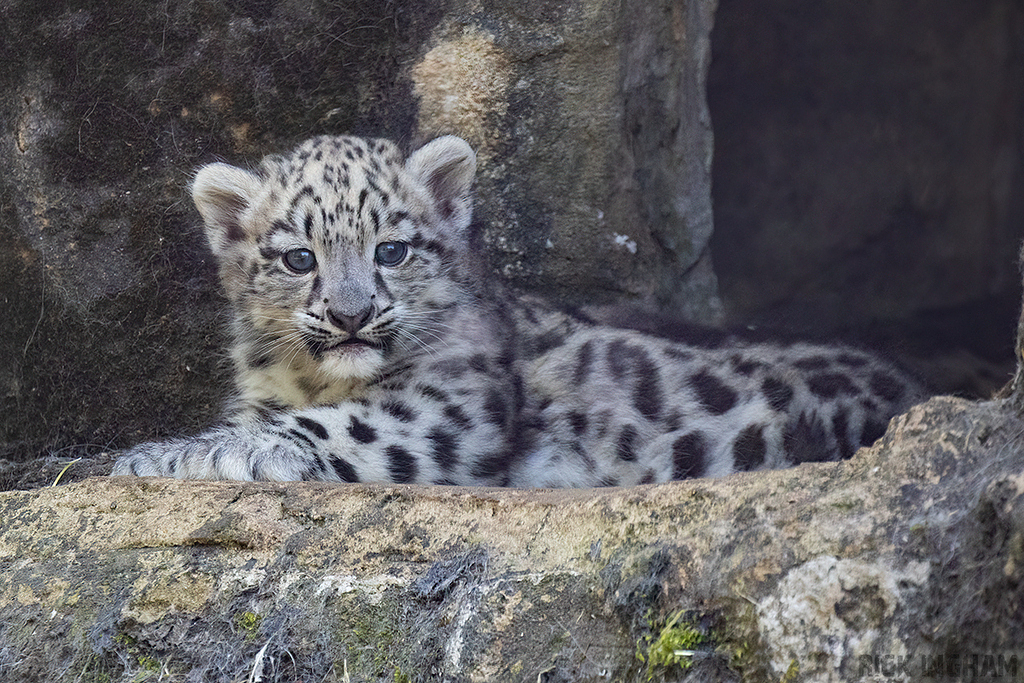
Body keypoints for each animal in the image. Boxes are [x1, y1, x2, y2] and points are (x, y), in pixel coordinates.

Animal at [111, 134, 924, 487]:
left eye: (392, 249)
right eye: (298, 258)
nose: (351, 316)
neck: (316, 378)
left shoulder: (451, 407)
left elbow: (336, 425)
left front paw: (175, 453)